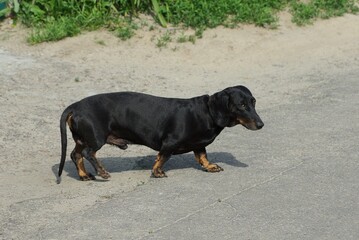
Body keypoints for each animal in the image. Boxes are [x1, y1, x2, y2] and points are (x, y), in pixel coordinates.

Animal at [57, 85, 262, 183]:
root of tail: (75, 107)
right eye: (242, 105)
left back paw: (84, 175)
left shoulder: (199, 145)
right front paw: (157, 172)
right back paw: (101, 171)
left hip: (82, 139)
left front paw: (210, 166)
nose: (261, 125)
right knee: (88, 153)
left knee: (75, 155)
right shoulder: (170, 142)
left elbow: (202, 156)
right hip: (96, 138)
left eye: (253, 102)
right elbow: (162, 157)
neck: (206, 112)